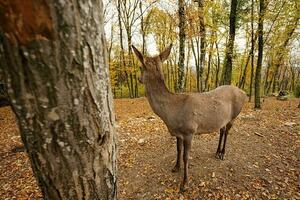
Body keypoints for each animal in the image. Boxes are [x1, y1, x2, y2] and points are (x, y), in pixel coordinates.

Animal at [132, 44, 247, 191]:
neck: (171, 112)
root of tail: (244, 93)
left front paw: (184, 183)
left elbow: (186, 156)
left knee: (227, 131)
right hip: (223, 119)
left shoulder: (189, 131)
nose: (138, 79)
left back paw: (222, 153)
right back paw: (216, 152)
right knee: (222, 130)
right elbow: (178, 150)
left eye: (140, 67)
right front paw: (175, 167)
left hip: (234, 115)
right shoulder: (178, 133)